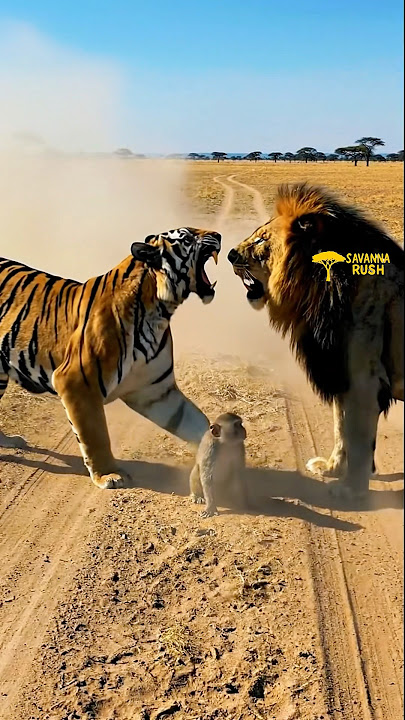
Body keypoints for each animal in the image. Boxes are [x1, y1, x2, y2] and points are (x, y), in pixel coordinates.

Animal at [0, 227, 221, 488]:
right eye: (187, 238)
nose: (219, 235)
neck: (160, 310)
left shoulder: (156, 391)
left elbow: (197, 423)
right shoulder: (77, 382)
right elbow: (95, 435)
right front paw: (108, 475)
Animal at [228, 182, 403, 497]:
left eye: (261, 239)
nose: (229, 254)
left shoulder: (364, 380)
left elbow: (358, 440)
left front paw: (351, 490)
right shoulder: (340, 373)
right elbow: (341, 428)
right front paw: (332, 469)